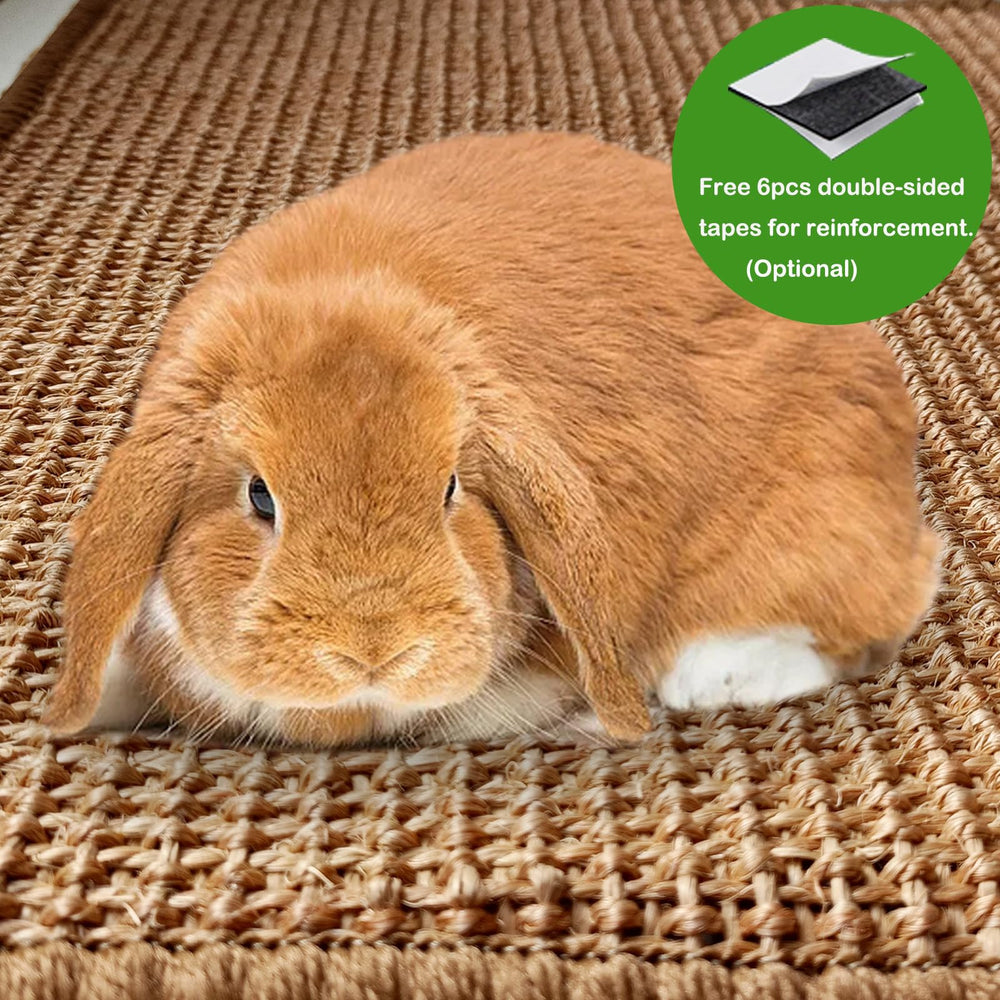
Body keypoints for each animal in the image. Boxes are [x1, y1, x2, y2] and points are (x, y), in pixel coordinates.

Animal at [42, 131, 941, 747]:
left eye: (450, 488)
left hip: (808, 529)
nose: (375, 648)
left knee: (870, 619)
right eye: (259, 497)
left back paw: (709, 679)